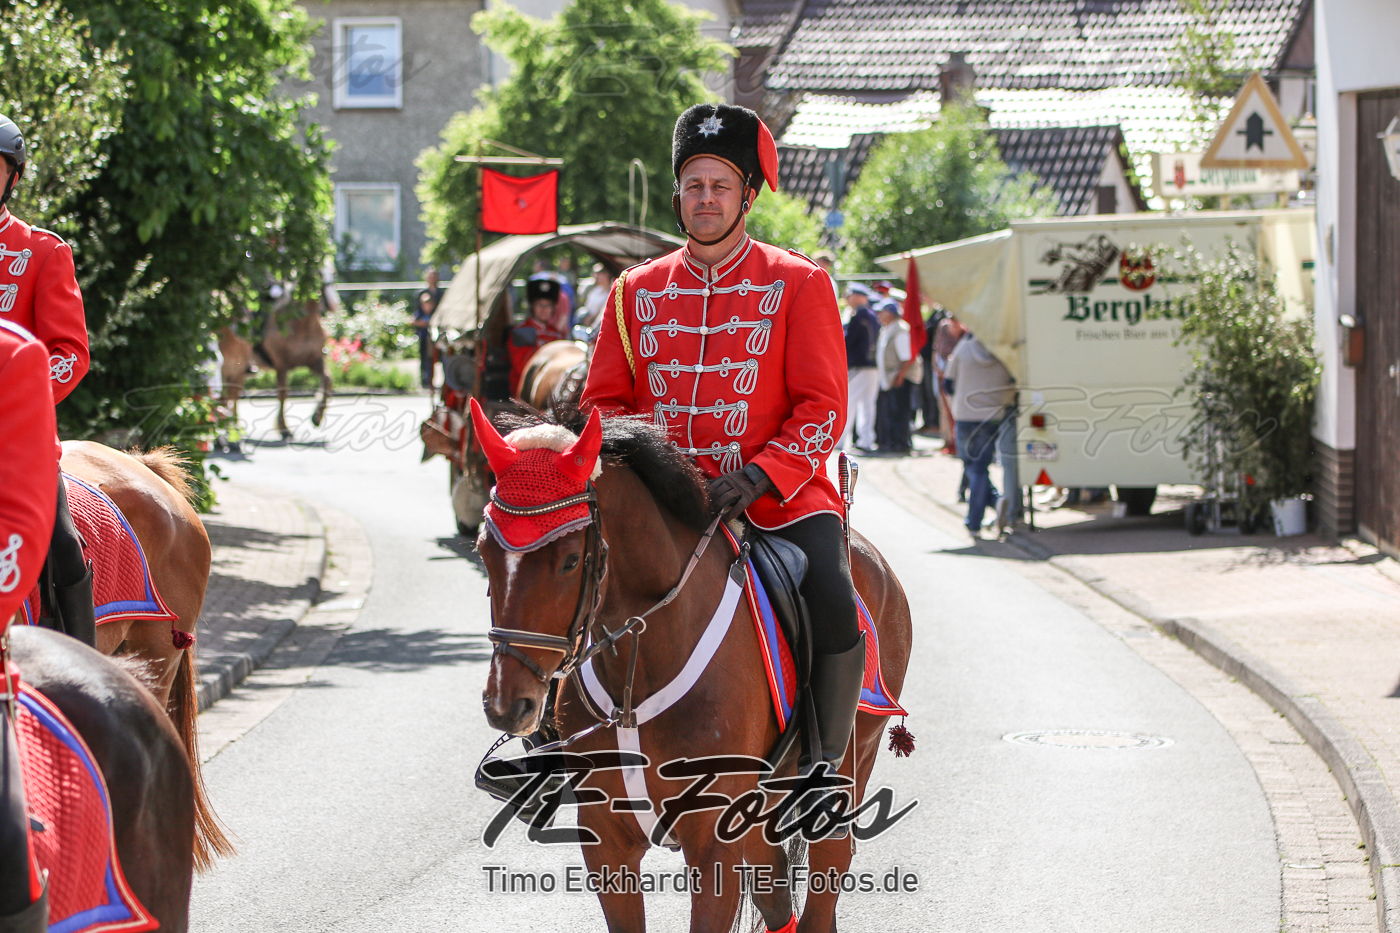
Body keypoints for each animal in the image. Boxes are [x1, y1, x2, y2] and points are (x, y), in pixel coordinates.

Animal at [218, 284, 333, 439]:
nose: (329, 304)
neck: (303, 322)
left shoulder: (314, 360)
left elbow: (327, 380)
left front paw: (317, 417)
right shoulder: (281, 365)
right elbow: (282, 394)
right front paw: (284, 428)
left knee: (233, 394)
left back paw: (234, 427)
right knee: (228, 395)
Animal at [472, 406, 913, 933]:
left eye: (571, 560)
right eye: (483, 551)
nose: (506, 705)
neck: (639, 674)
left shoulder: (712, 844)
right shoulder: (606, 843)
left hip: (848, 766)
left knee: (826, 872)